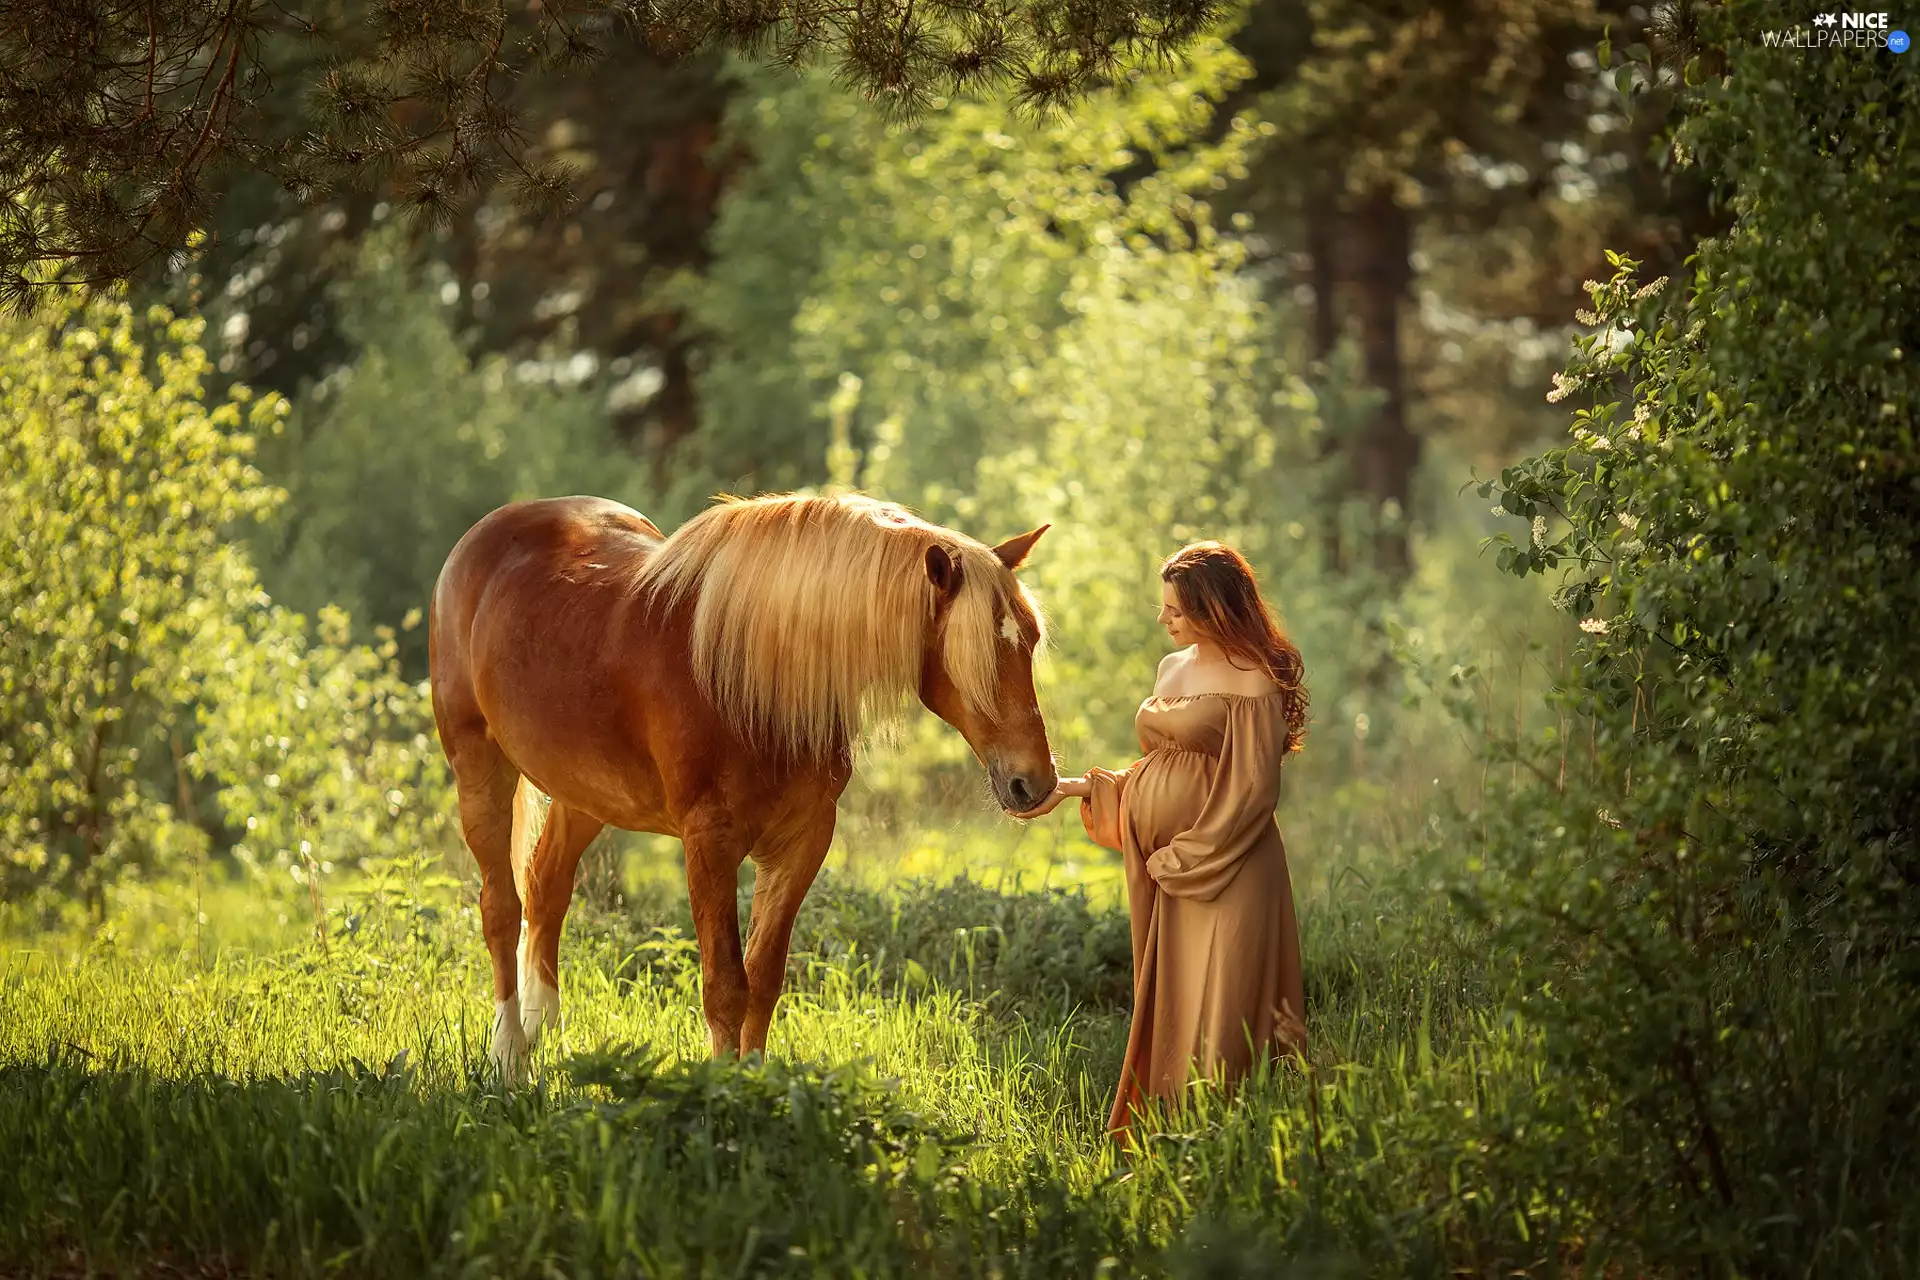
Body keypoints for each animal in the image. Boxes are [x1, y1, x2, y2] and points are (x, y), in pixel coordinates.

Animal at [428, 490, 1057, 1080]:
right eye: (980, 654)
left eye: (1028, 641)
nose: (1036, 782)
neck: (753, 673)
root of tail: (489, 533)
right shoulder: (710, 842)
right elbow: (726, 987)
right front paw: (724, 1096)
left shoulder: (803, 839)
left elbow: (764, 979)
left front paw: (756, 1086)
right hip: (478, 765)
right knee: (500, 908)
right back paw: (508, 1056)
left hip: (585, 791)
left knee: (547, 887)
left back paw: (539, 1030)